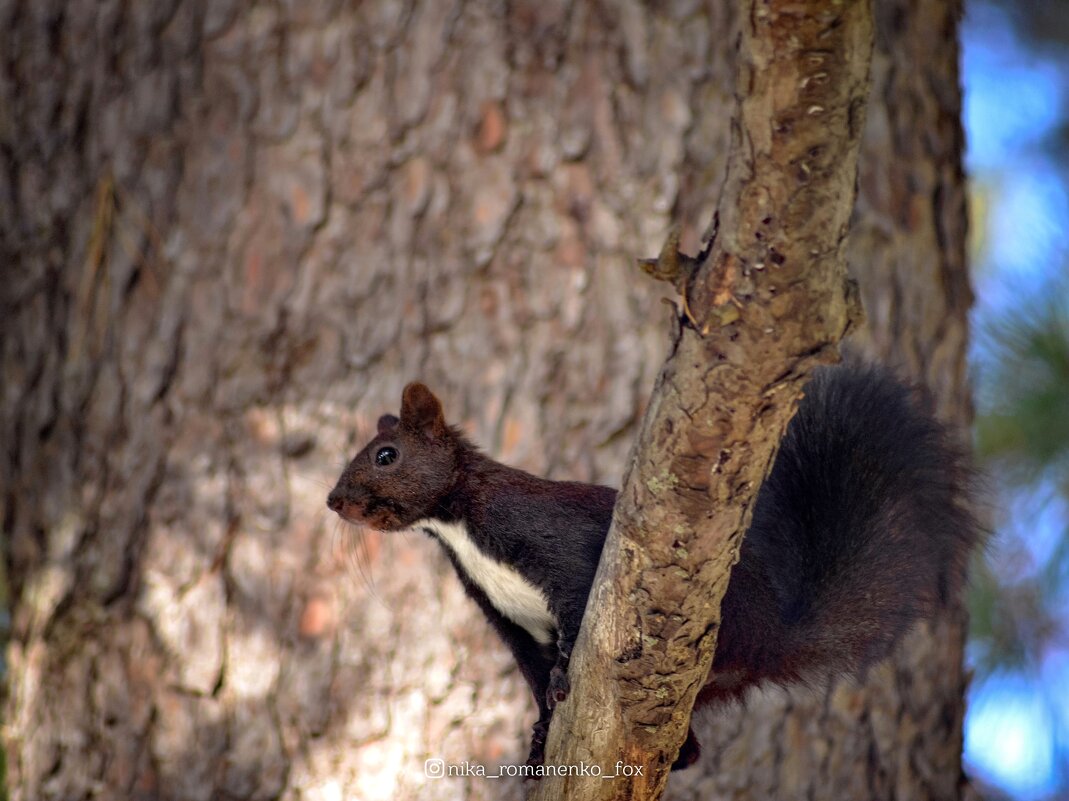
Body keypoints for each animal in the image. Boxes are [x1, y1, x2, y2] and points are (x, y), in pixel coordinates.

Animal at [324, 361, 979, 769]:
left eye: (386, 455)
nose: (333, 501)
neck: (459, 525)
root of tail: (774, 637)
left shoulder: (556, 546)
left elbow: (571, 611)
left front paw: (562, 680)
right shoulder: (503, 617)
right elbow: (531, 671)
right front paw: (538, 738)